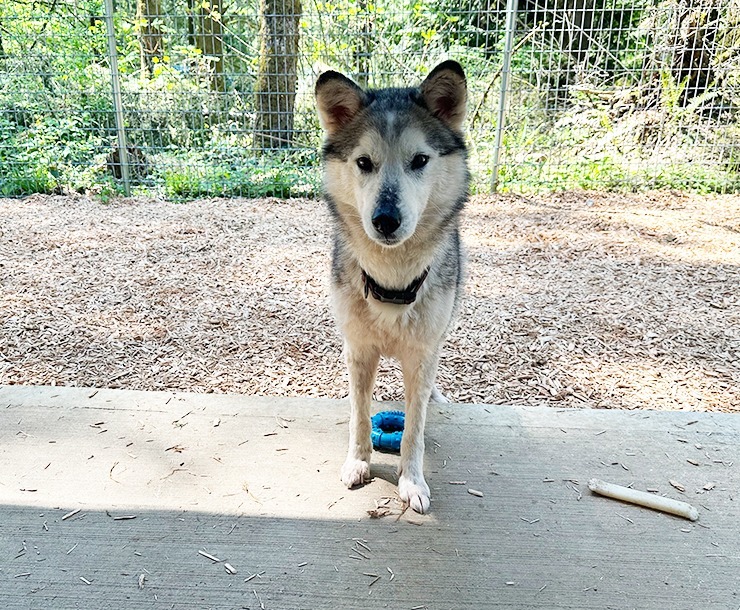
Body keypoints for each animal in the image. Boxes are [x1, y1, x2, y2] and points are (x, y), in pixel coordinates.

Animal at [314, 61, 468, 510]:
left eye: (420, 160)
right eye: (364, 162)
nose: (385, 220)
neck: (392, 282)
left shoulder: (421, 355)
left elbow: (414, 429)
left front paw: (412, 482)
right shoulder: (359, 349)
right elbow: (359, 415)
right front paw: (358, 462)